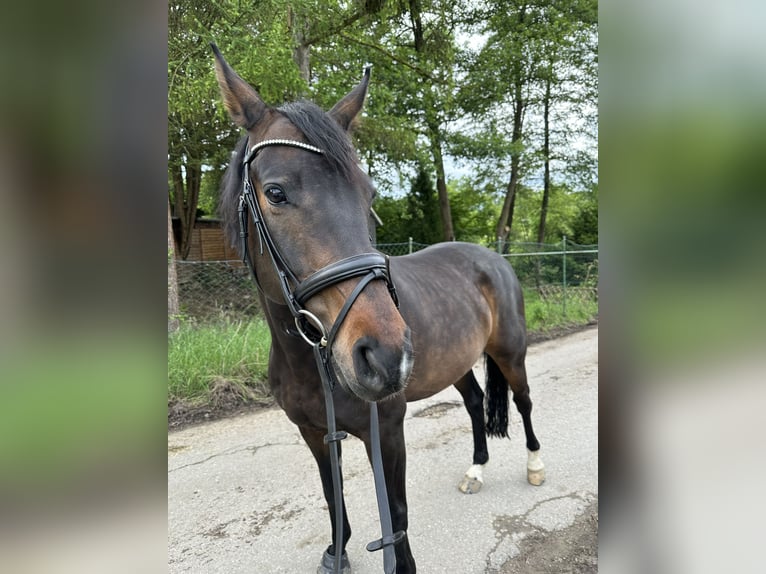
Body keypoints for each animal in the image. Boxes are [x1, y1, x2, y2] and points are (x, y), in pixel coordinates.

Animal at [211, 44, 544, 574]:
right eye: (276, 192)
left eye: (368, 195)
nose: (385, 356)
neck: (312, 365)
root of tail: (492, 257)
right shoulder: (313, 432)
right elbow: (333, 497)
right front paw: (336, 551)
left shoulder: (385, 430)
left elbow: (398, 515)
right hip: (456, 363)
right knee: (475, 402)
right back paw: (475, 470)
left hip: (510, 352)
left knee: (524, 400)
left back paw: (534, 465)